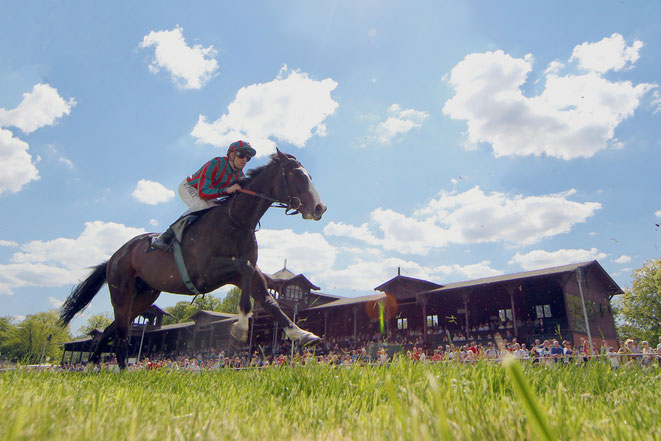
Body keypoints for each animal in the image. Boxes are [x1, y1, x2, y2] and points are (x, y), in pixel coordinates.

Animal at [58, 149, 326, 368]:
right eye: (298, 176)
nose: (320, 208)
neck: (235, 222)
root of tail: (115, 256)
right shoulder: (205, 273)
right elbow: (246, 269)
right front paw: (240, 328)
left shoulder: (241, 273)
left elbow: (269, 300)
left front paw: (302, 334)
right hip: (121, 290)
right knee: (122, 332)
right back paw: (121, 370)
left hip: (145, 295)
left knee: (112, 328)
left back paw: (93, 366)